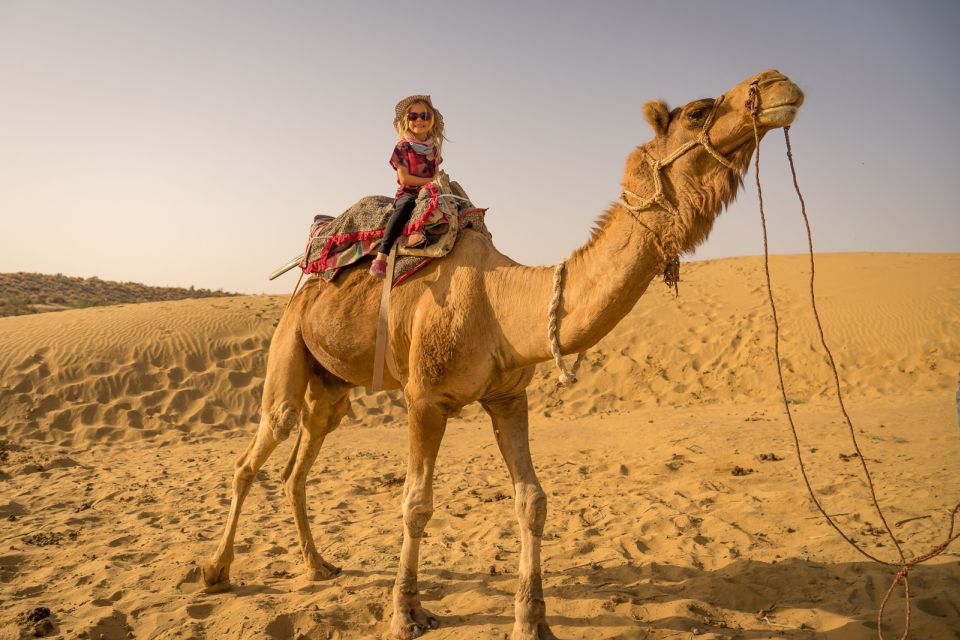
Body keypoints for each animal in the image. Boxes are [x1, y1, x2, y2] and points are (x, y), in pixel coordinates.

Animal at [201, 71, 804, 640]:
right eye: (699, 111)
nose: (778, 82)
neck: (505, 304)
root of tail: (306, 281)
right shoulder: (425, 398)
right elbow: (416, 504)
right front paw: (405, 613)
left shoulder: (510, 398)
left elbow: (532, 500)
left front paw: (531, 621)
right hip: (288, 342)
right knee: (257, 449)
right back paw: (215, 571)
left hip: (330, 386)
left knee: (299, 462)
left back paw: (318, 565)